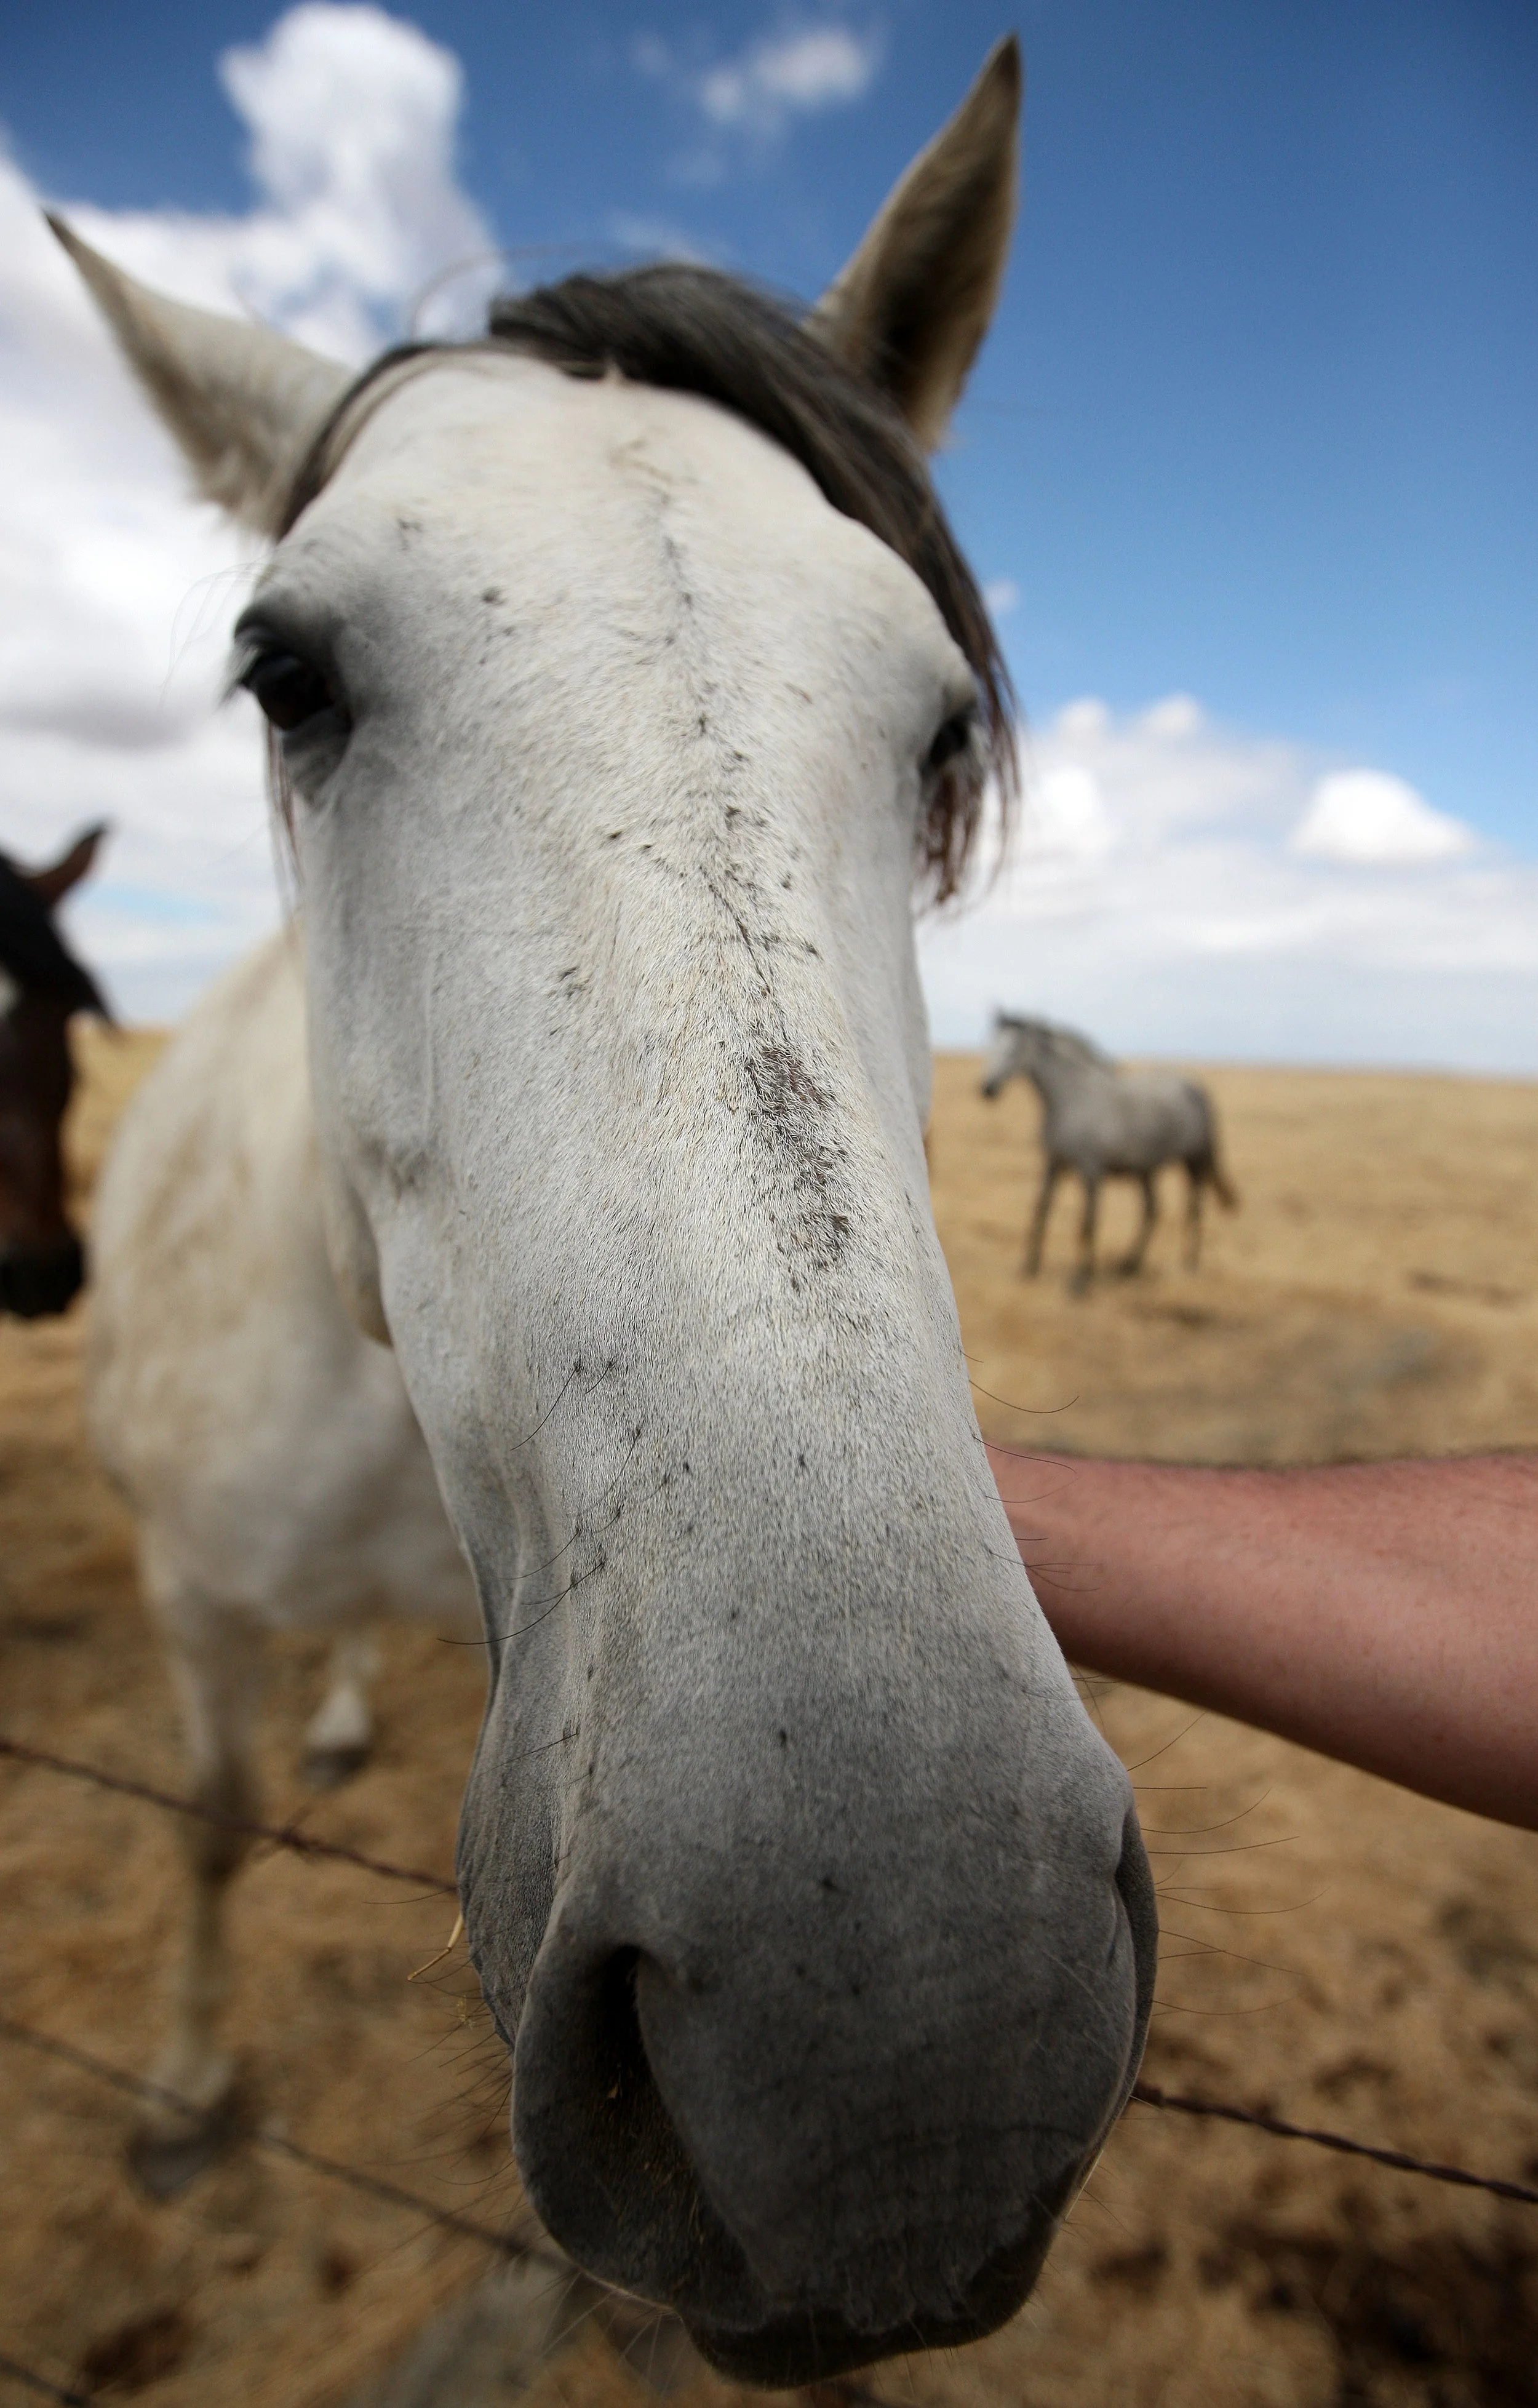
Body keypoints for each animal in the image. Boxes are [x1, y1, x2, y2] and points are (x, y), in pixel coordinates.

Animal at [58, 39, 1157, 2385]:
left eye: (940, 721)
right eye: (282, 673)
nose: (905, 2035)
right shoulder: (189, 1588)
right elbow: (204, 1827)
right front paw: (184, 2091)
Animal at [981, 1011, 1238, 1288]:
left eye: (1016, 1048)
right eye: (992, 1043)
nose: (987, 1089)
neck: (1073, 1099)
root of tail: (1194, 1088)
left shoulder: (1090, 1170)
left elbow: (1088, 1222)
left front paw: (1081, 1280)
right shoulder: (1054, 1163)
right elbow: (1041, 1210)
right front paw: (1030, 1266)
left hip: (1193, 1163)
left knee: (1194, 1209)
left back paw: (1189, 1264)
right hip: (1147, 1172)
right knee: (1152, 1210)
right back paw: (1130, 1265)